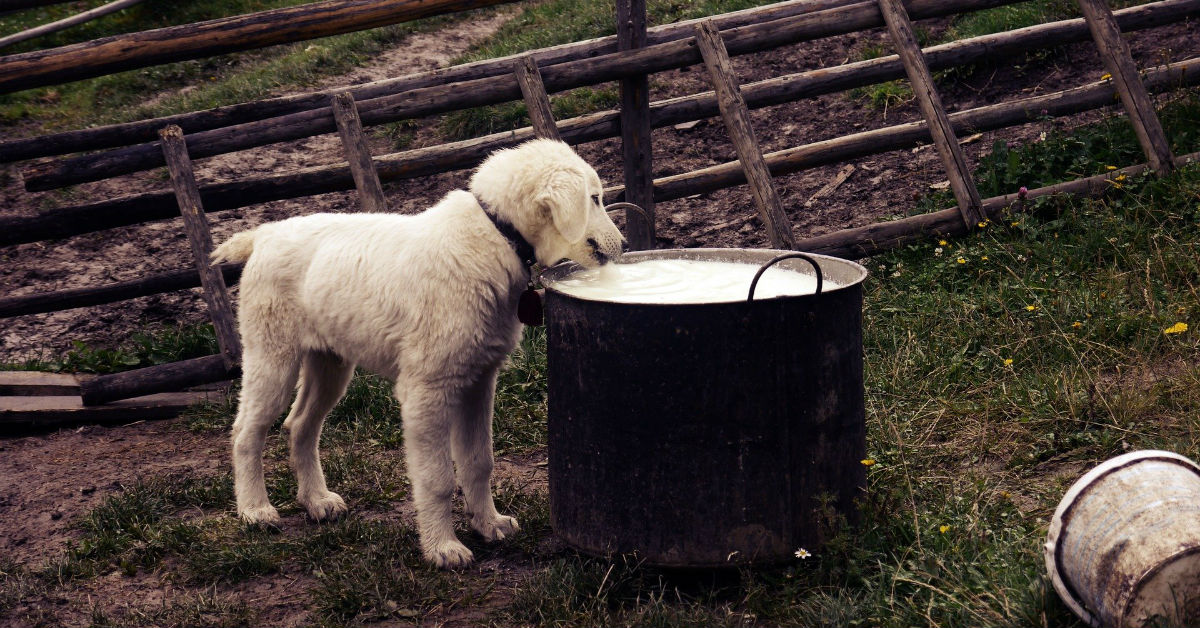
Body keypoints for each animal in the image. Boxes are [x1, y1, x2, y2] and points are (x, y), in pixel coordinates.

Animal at [211, 139, 624, 566]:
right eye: (594, 198)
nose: (623, 247)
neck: (495, 235)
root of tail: (265, 232)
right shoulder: (428, 389)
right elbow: (438, 478)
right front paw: (443, 547)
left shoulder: (480, 379)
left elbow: (479, 462)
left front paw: (488, 524)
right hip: (271, 353)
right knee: (247, 431)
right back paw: (255, 510)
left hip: (330, 362)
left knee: (300, 425)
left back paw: (317, 501)